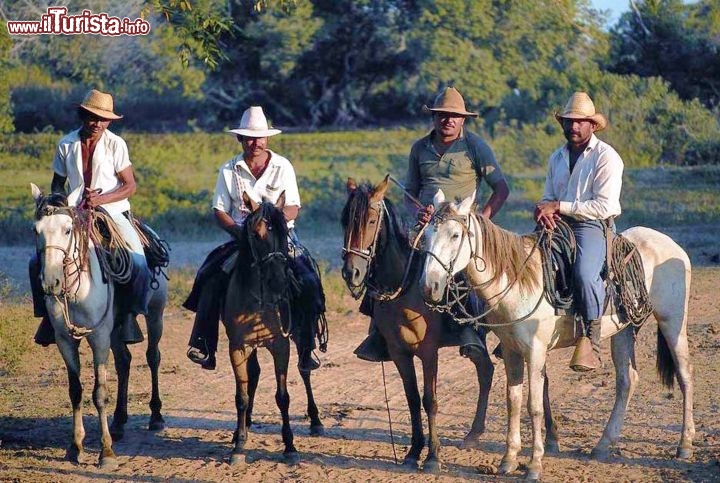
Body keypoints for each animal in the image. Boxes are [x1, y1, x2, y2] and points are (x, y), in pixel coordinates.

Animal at [31, 183, 167, 470]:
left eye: (67, 229)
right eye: (36, 230)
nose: (50, 282)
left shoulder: (99, 338)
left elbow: (100, 393)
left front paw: (106, 452)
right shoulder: (65, 340)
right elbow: (75, 391)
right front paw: (75, 446)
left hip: (155, 314)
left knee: (152, 357)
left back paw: (156, 416)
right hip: (116, 328)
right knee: (124, 361)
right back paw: (119, 421)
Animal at [221, 190, 296, 466]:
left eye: (284, 232)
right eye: (256, 234)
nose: (279, 282)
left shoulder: (281, 345)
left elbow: (283, 396)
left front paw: (290, 445)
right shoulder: (238, 347)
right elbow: (241, 396)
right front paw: (239, 446)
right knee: (251, 377)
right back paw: (240, 431)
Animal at [420, 192, 696, 480]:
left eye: (455, 235)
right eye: (426, 235)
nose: (430, 287)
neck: (521, 280)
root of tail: (671, 245)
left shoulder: (535, 351)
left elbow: (534, 405)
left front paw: (534, 465)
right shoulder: (511, 350)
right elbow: (513, 401)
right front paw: (508, 460)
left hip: (673, 321)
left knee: (684, 374)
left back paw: (685, 444)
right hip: (624, 330)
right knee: (627, 380)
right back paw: (603, 445)